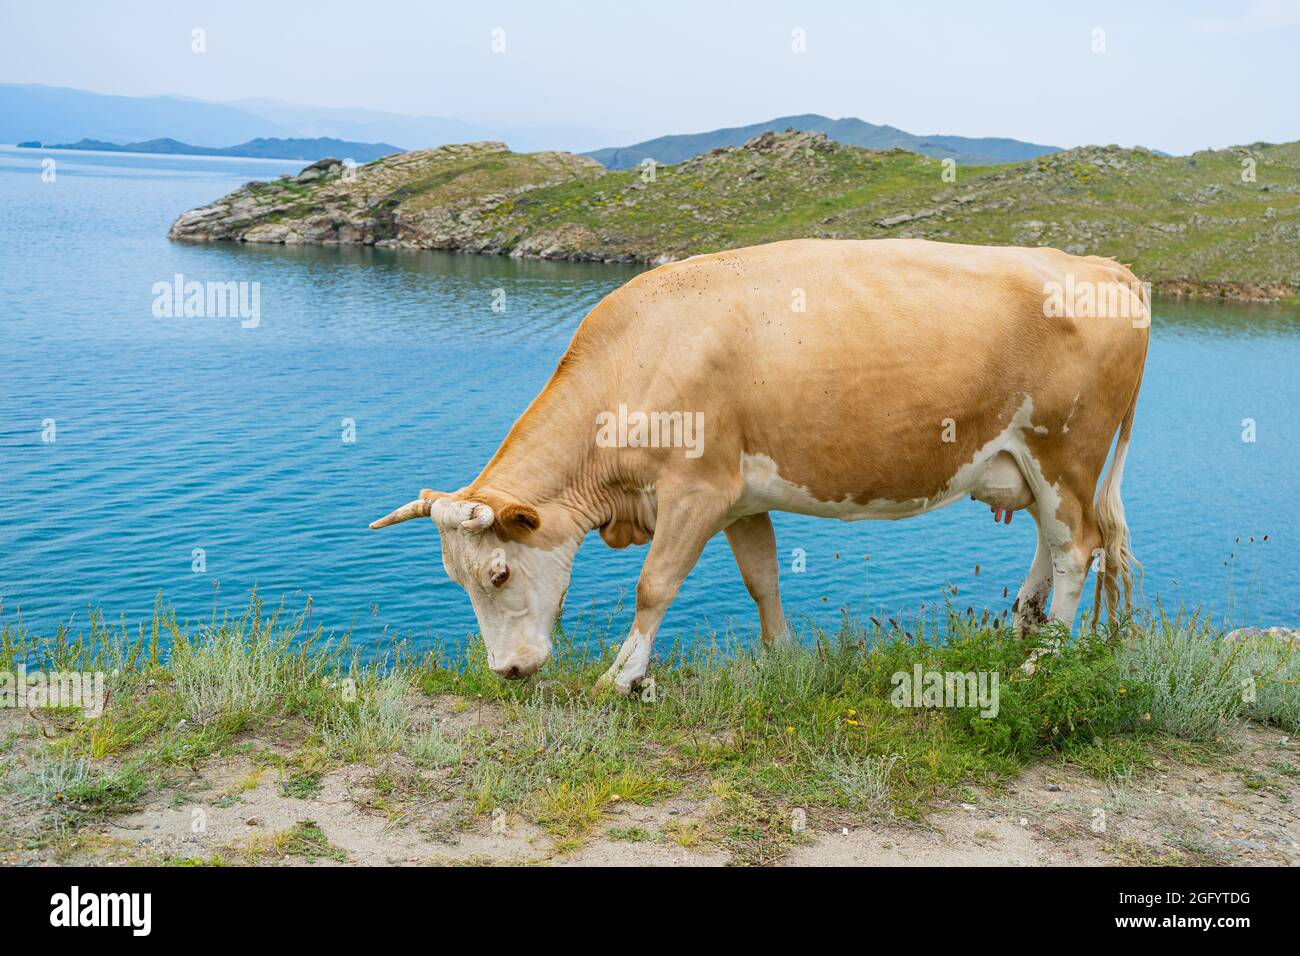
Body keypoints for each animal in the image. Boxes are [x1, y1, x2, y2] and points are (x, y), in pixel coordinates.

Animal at [369, 239, 1149, 697]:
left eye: (499, 573)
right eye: (457, 578)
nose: (506, 670)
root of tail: (1105, 267)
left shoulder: (696, 491)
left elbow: (654, 586)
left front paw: (623, 677)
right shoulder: (741, 499)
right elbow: (762, 580)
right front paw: (783, 661)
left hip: (1066, 452)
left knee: (1077, 548)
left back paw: (1042, 660)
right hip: (1029, 463)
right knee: (1052, 542)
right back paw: (1024, 627)